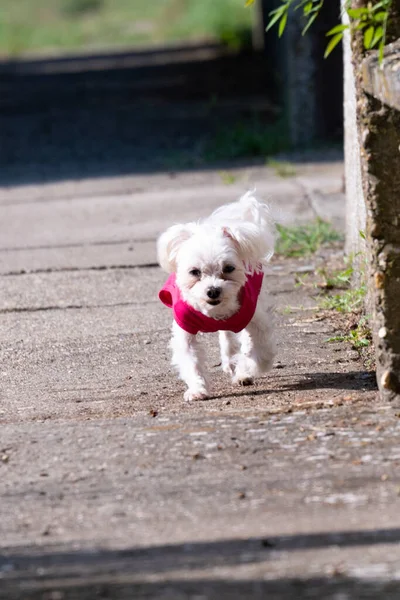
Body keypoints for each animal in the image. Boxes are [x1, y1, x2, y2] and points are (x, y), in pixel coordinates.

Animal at [158, 191, 276, 398]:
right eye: (194, 272)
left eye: (228, 268)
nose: (213, 290)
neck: (216, 313)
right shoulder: (185, 327)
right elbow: (190, 359)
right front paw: (197, 389)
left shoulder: (256, 320)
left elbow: (259, 355)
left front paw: (243, 371)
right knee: (227, 338)